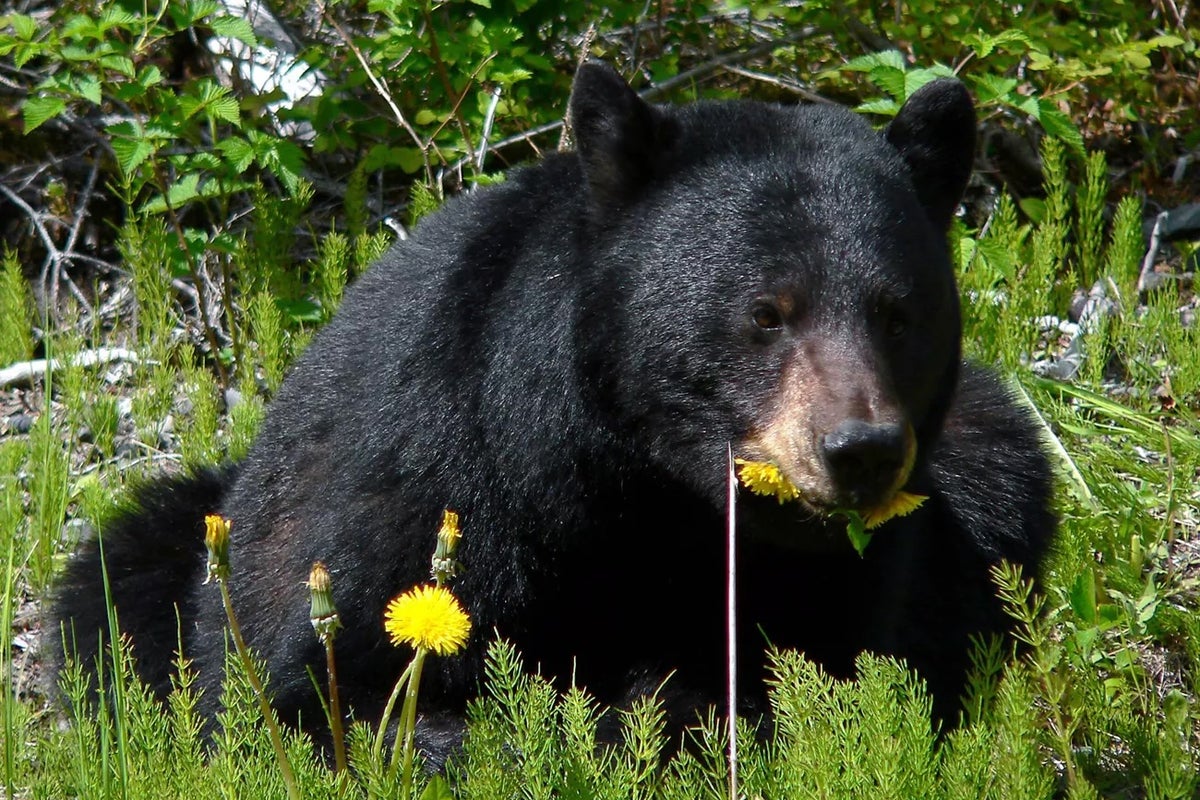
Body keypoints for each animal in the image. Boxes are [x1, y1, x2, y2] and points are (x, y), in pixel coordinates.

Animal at [55, 60, 1055, 747]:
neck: (637, 489)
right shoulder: (426, 478)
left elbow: (825, 669)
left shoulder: (846, 572)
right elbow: (321, 690)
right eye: (766, 313)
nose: (860, 449)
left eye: (898, 313)